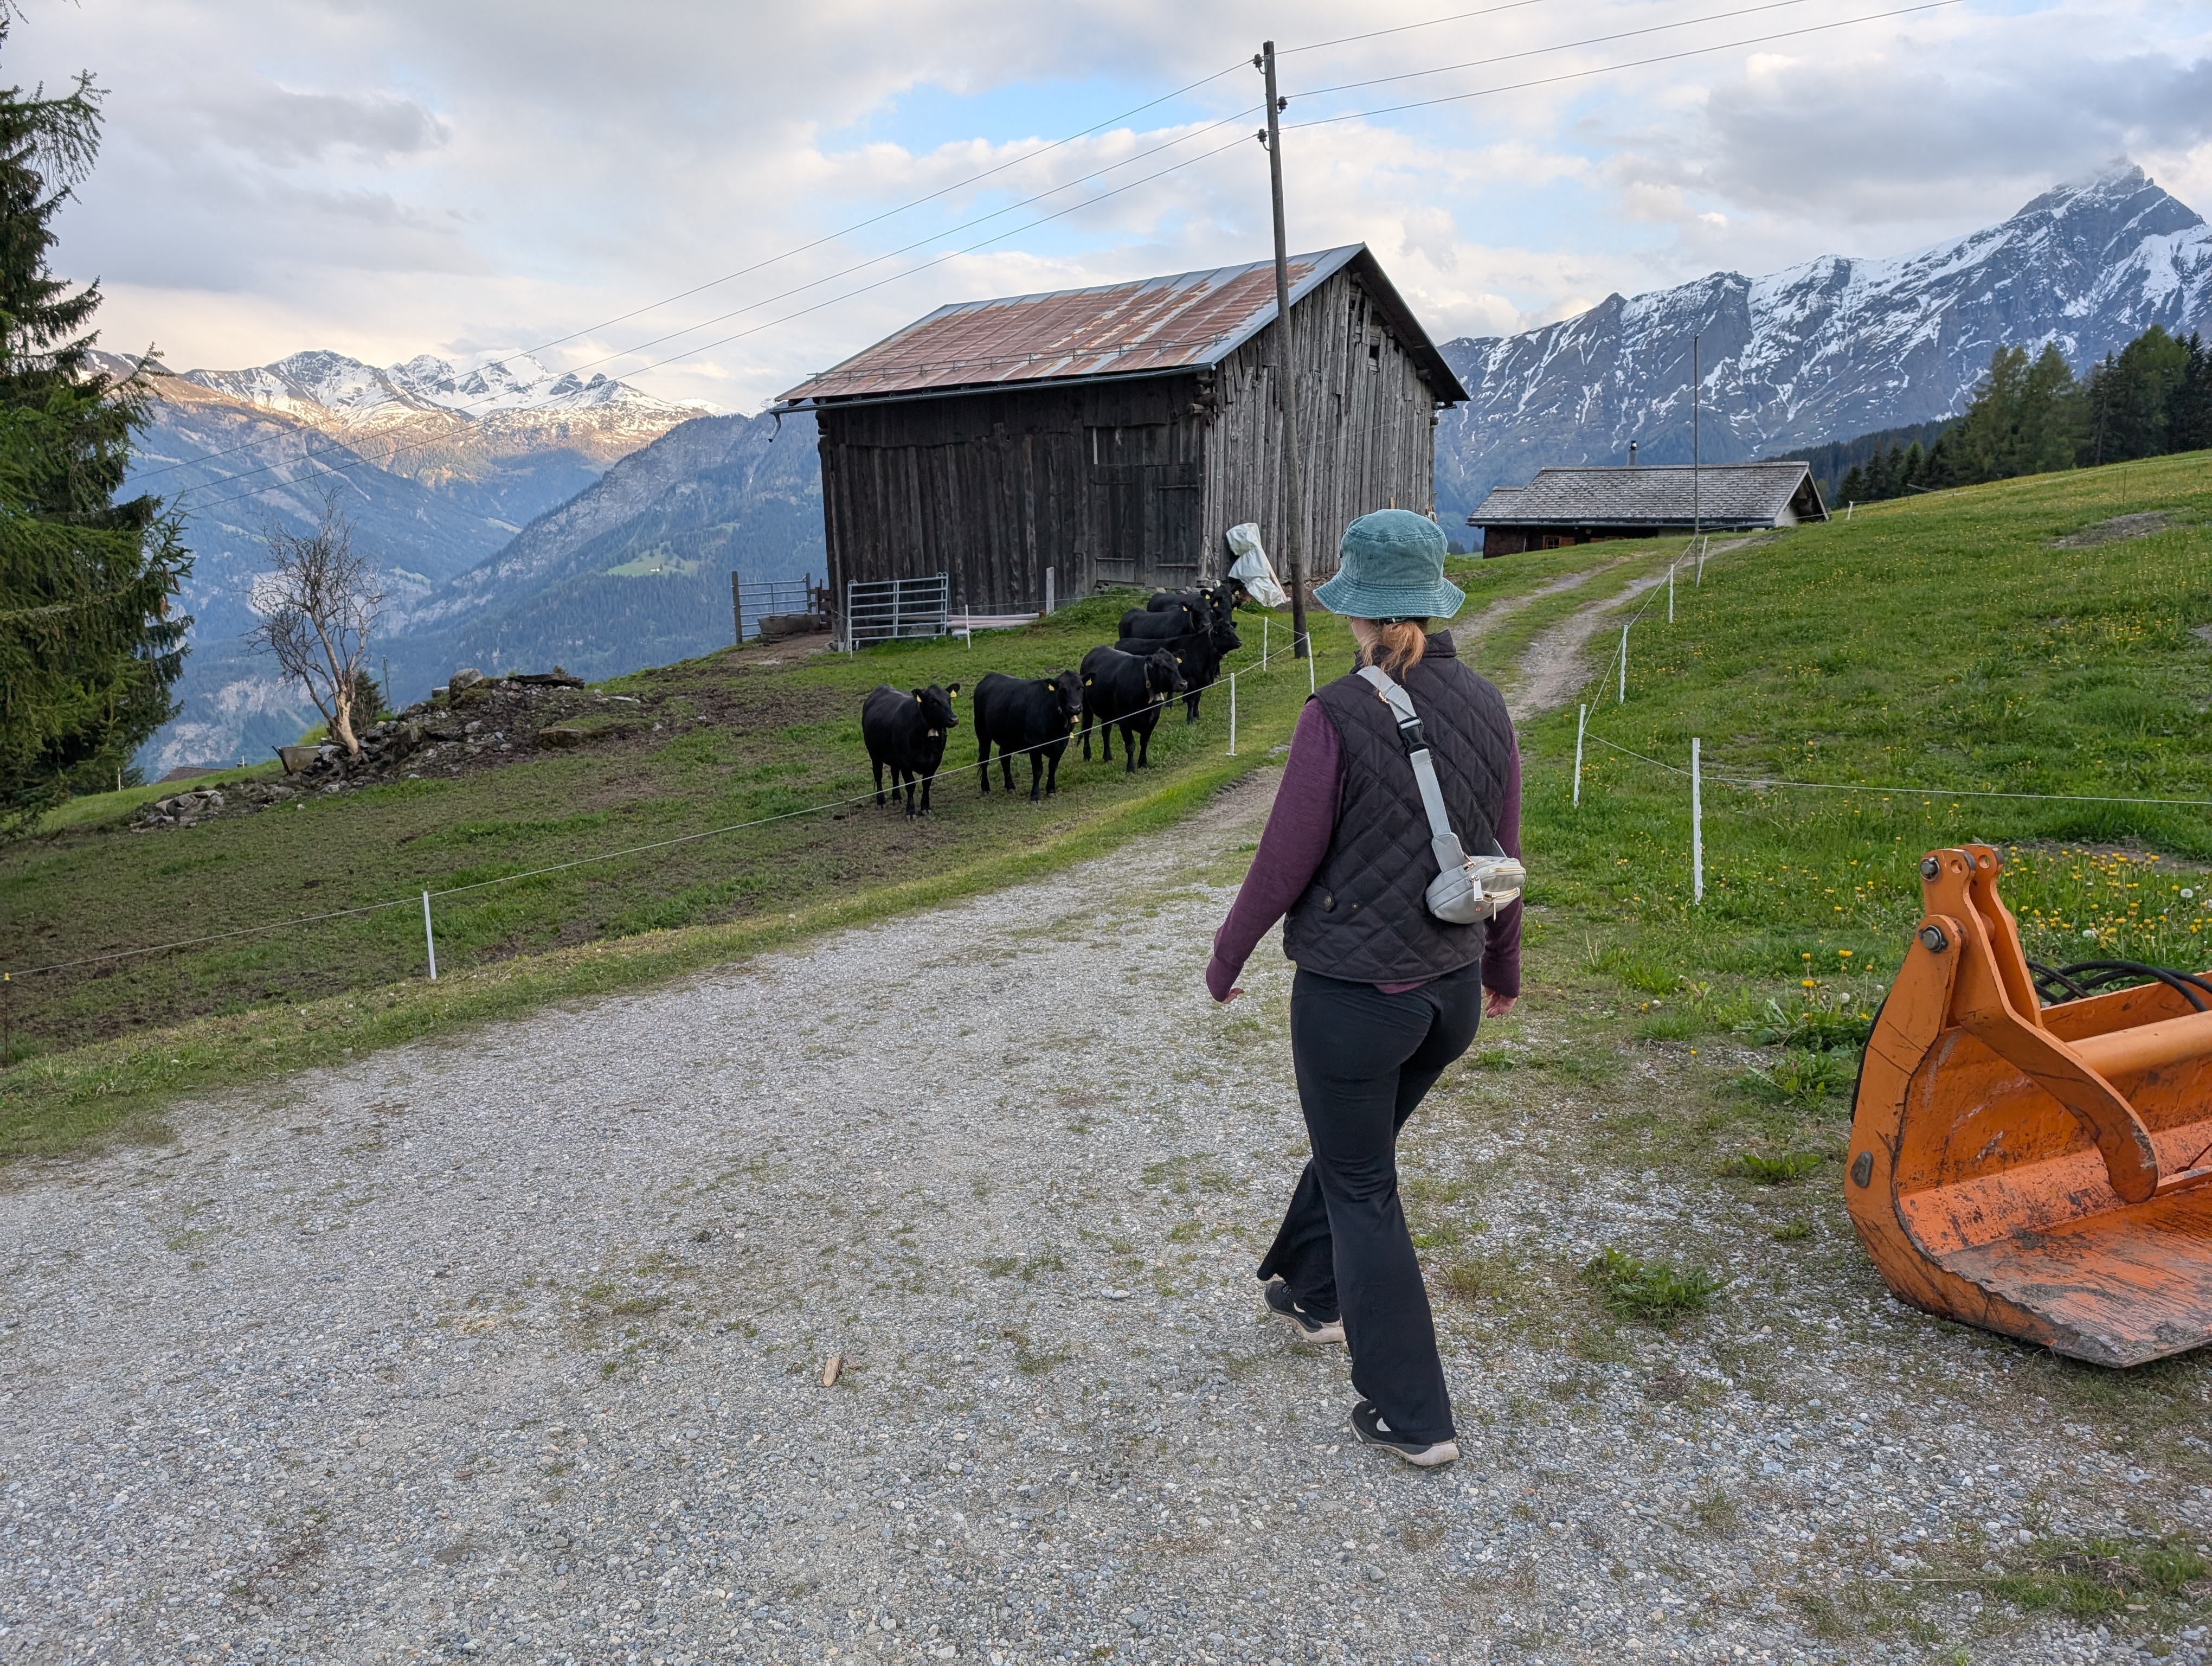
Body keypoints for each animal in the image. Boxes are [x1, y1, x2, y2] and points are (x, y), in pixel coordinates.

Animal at [861, 682, 960, 817]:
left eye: (949, 699)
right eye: (933, 701)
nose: (954, 720)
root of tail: (882, 687)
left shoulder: (936, 760)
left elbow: (927, 783)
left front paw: (925, 807)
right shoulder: (905, 762)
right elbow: (911, 785)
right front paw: (911, 811)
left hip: (893, 756)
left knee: (894, 772)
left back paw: (897, 797)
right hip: (874, 753)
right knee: (878, 774)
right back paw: (881, 801)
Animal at [973, 669, 1085, 801]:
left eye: (1081, 687)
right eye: (1062, 689)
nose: (1075, 708)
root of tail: (990, 676)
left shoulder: (1062, 743)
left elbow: (1053, 767)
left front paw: (1051, 790)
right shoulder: (1034, 745)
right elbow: (1038, 770)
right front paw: (1035, 796)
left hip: (1007, 737)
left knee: (1005, 757)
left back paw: (1010, 787)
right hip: (982, 733)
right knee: (984, 760)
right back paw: (985, 788)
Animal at [1079, 645, 1185, 772]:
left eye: (1177, 665)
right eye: (1164, 668)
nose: (1183, 684)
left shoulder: (1153, 719)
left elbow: (1144, 742)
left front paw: (1143, 763)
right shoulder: (1124, 721)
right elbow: (1130, 745)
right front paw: (1131, 768)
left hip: (1107, 712)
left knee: (1106, 732)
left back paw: (1107, 757)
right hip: (1086, 707)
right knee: (1087, 730)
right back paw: (1087, 755)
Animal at [1113, 614, 1241, 722]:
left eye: (1233, 630)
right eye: (1226, 633)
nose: (1240, 642)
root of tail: (1120, 643)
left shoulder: (1202, 682)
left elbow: (1197, 699)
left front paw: (1197, 716)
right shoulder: (1191, 681)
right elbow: (1192, 700)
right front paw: (1190, 719)